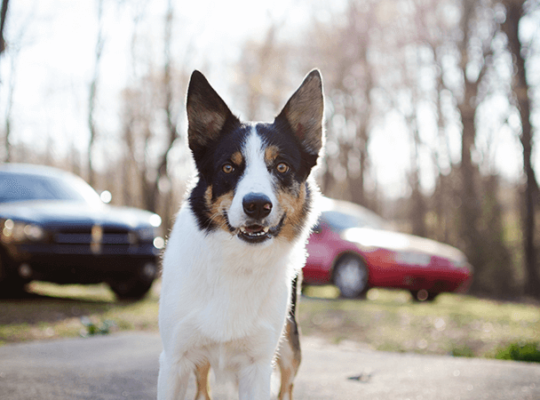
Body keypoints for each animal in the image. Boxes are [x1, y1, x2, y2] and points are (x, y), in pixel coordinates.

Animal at [157, 69, 324, 400]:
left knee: (287, 386)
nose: (257, 205)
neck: (238, 260)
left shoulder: (258, 366)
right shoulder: (174, 360)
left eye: (281, 166)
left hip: (290, 345)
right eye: (228, 167)